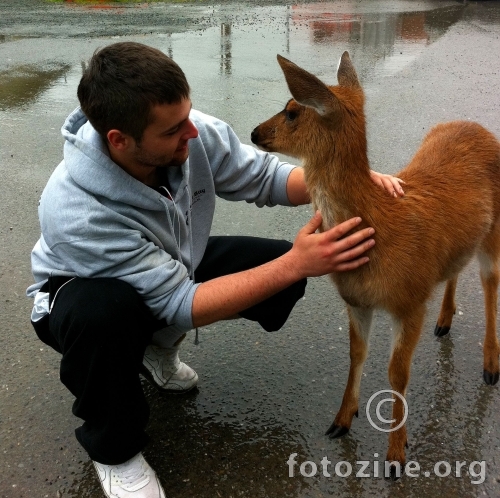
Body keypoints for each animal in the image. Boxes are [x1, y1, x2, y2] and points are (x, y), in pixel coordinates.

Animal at [252, 51, 500, 478]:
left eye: (291, 111)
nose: (253, 133)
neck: (379, 230)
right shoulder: (357, 302)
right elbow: (356, 354)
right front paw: (341, 420)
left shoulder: (411, 300)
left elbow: (397, 373)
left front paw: (396, 456)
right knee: (456, 268)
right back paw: (445, 321)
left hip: (495, 229)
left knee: (490, 283)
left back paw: (490, 365)